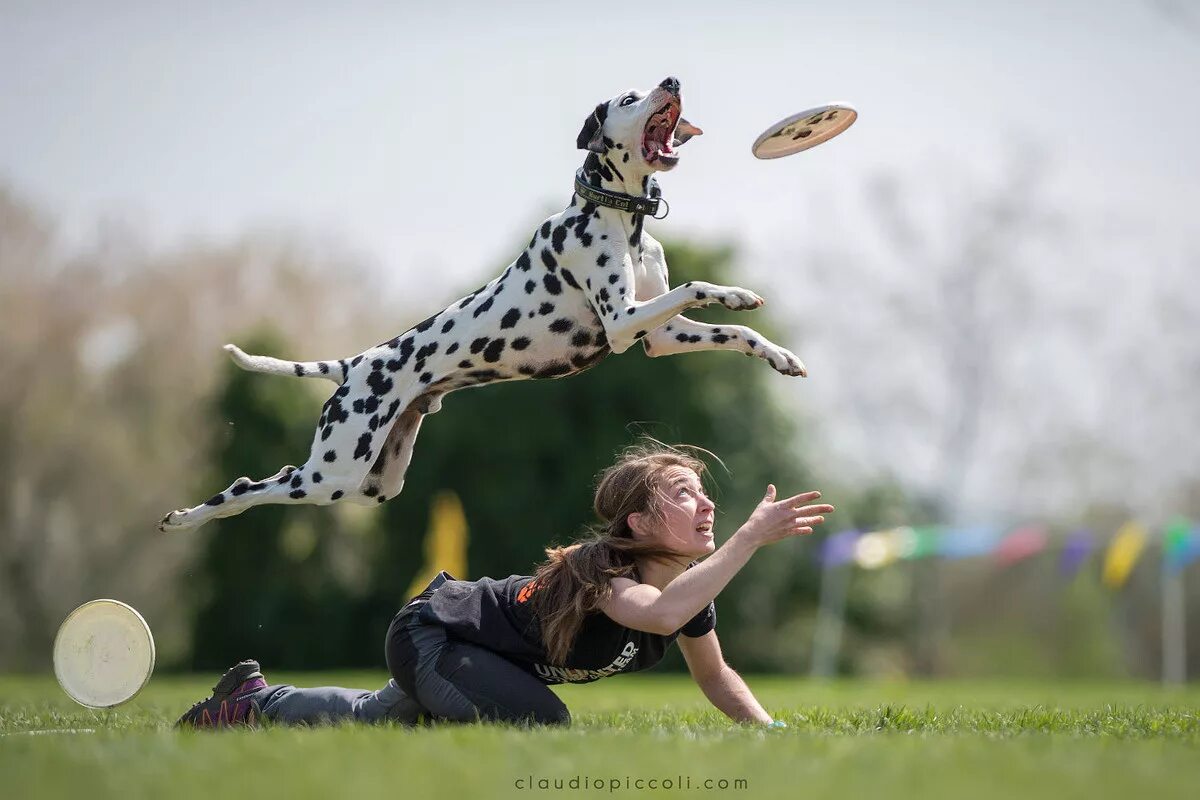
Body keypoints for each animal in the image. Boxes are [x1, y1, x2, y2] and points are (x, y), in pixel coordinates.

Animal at [152, 77, 806, 534]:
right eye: (629, 96)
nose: (671, 79)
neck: (618, 217)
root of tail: (355, 365)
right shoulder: (622, 323)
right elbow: (695, 286)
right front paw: (735, 294)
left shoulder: (659, 336)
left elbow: (732, 331)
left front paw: (777, 350)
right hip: (333, 472)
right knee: (247, 487)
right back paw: (187, 518)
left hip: (370, 481)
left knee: (270, 481)